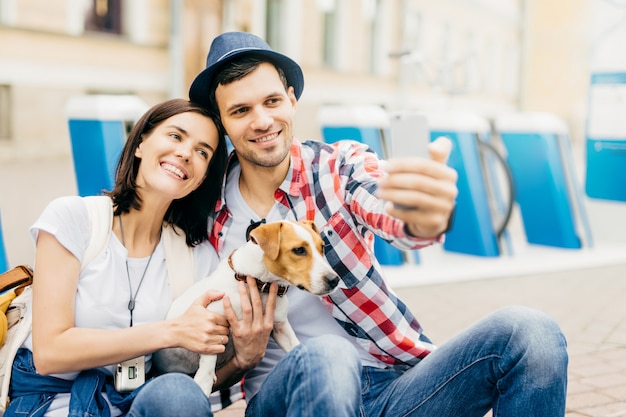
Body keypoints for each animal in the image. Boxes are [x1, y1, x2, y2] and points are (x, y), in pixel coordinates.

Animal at [150, 219, 336, 394]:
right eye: (299, 250)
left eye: (322, 247)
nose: (334, 280)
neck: (259, 284)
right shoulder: (210, 322)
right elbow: (208, 363)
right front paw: (203, 384)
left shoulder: (280, 327)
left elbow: (296, 345)